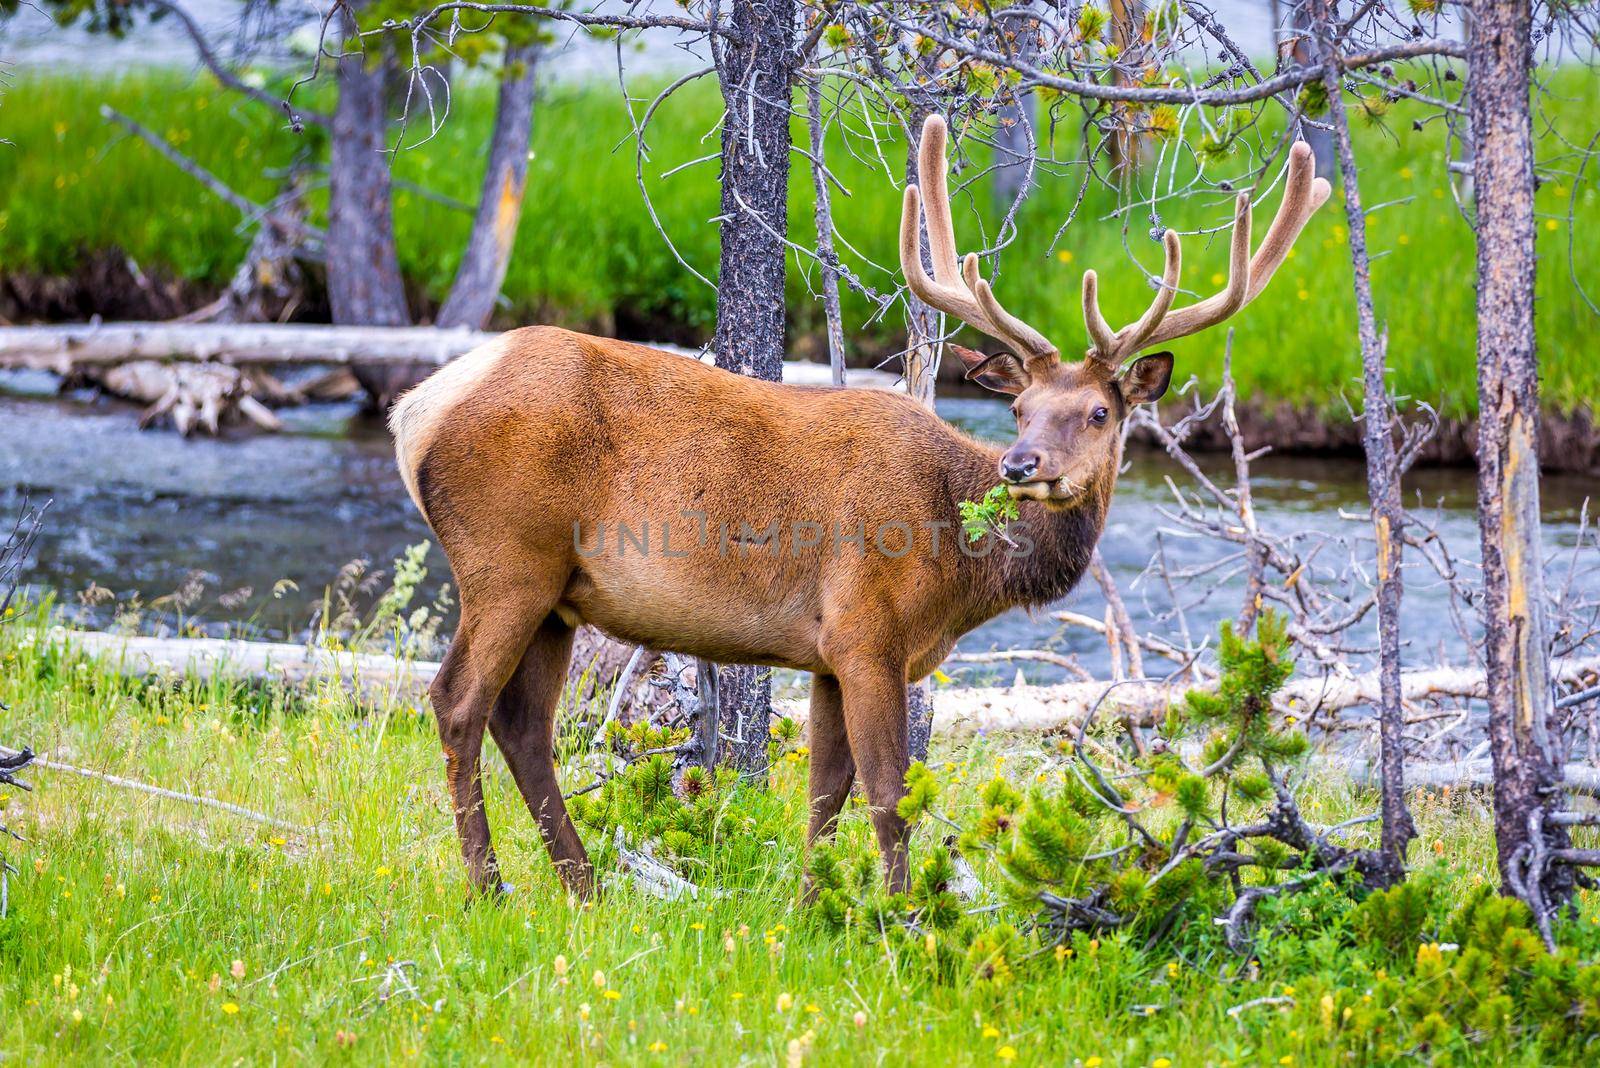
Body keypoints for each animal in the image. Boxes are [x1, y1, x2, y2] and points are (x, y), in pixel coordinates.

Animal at [387, 115, 1324, 901]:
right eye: (1022, 409)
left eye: (1098, 412)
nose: (1021, 464)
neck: (959, 570)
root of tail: (414, 409)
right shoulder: (867, 631)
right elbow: (886, 792)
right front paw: (902, 918)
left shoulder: (827, 653)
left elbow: (825, 792)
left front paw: (810, 907)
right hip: (509, 559)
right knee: (457, 703)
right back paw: (490, 888)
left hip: (559, 596)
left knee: (523, 725)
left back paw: (583, 887)